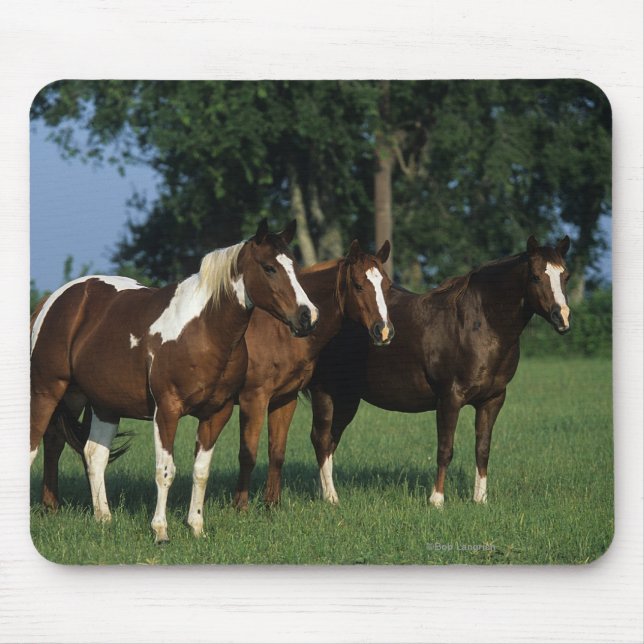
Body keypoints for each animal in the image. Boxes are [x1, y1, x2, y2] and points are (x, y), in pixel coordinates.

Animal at [30, 219, 319, 542]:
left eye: (294, 266)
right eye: (269, 267)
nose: (307, 316)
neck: (203, 329)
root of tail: (52, 301)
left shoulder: (216, 414)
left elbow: (201, 471)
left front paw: (196, 526)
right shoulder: (167, 411)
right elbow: (165, 471)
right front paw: (161, 531)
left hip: (99, 404)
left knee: (92, 454)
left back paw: (101, 517)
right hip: (46, 392)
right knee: (36, 446)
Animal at [186, 239, 394, 527]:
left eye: (387, 286)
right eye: (358, 285)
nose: (383, 331)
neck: (279, 332)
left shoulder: (285, 399)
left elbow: (277, 452)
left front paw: (272, 505)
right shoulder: (254, 400)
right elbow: (248, 454)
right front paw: (240, 507)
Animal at [307, 235, 571, 507]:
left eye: (566, 275)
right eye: (536, 277)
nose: (562, 317)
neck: (478, 324)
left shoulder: (492, 400)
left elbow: (483, 449)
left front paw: (480, 499)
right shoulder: (449, 398)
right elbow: (445, 449)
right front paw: (436, 499)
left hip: (347, 398)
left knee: (330, 441)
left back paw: (324, 491)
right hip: (325, 393)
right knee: (321, 438)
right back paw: (330, 497)